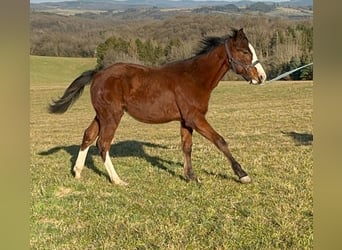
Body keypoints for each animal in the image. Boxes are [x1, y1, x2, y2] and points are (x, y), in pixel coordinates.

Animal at [48, 28, 268, 186]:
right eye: (245, 52)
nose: (262, 77)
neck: (194, 78)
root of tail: (98, 73)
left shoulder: (185, 120)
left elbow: (187, 146)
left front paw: (191, 176)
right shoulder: (195, 118)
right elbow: (220, 141)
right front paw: (242, 174)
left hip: (102, 115)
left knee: (88, 135)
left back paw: (77, 172)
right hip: (112, 115)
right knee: (102, 143)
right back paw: (118, 180)